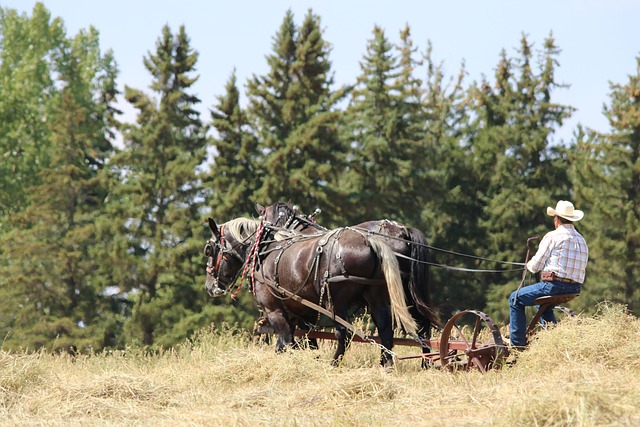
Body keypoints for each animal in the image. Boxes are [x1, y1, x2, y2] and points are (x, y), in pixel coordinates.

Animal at [202, 216, 418, 366]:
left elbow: (286, 341)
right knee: (385, 329)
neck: (262, 252)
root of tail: (369, 241)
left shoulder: (275, 310)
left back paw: (334, 364)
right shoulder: (302, 313)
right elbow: (303, 341)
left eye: (209, 249)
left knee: (344, 333)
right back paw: (386, 365)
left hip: (335, 303)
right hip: (376, 297)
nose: (209, 287)